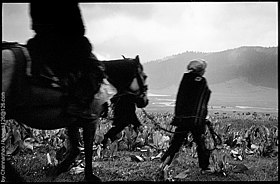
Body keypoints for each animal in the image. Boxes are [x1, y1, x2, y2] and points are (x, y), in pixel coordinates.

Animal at [2, 42, 149, 183]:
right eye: (145, 76)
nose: (145, 101)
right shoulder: (91, 120)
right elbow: (87, 148)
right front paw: (89, 175)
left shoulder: (71, 120)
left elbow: (76, 147)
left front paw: (58, 169)